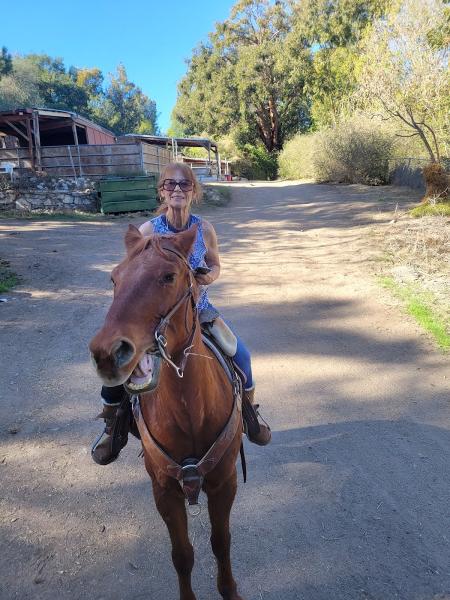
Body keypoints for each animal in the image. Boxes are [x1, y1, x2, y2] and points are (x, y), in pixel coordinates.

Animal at [89, 225, 246, 600]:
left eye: (169, 276)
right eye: (114, 278)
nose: (107, 353)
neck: (190, 411)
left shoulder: (224, 483)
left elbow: (221, 542)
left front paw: (230, 590)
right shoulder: (164, 491)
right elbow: (182, 554)